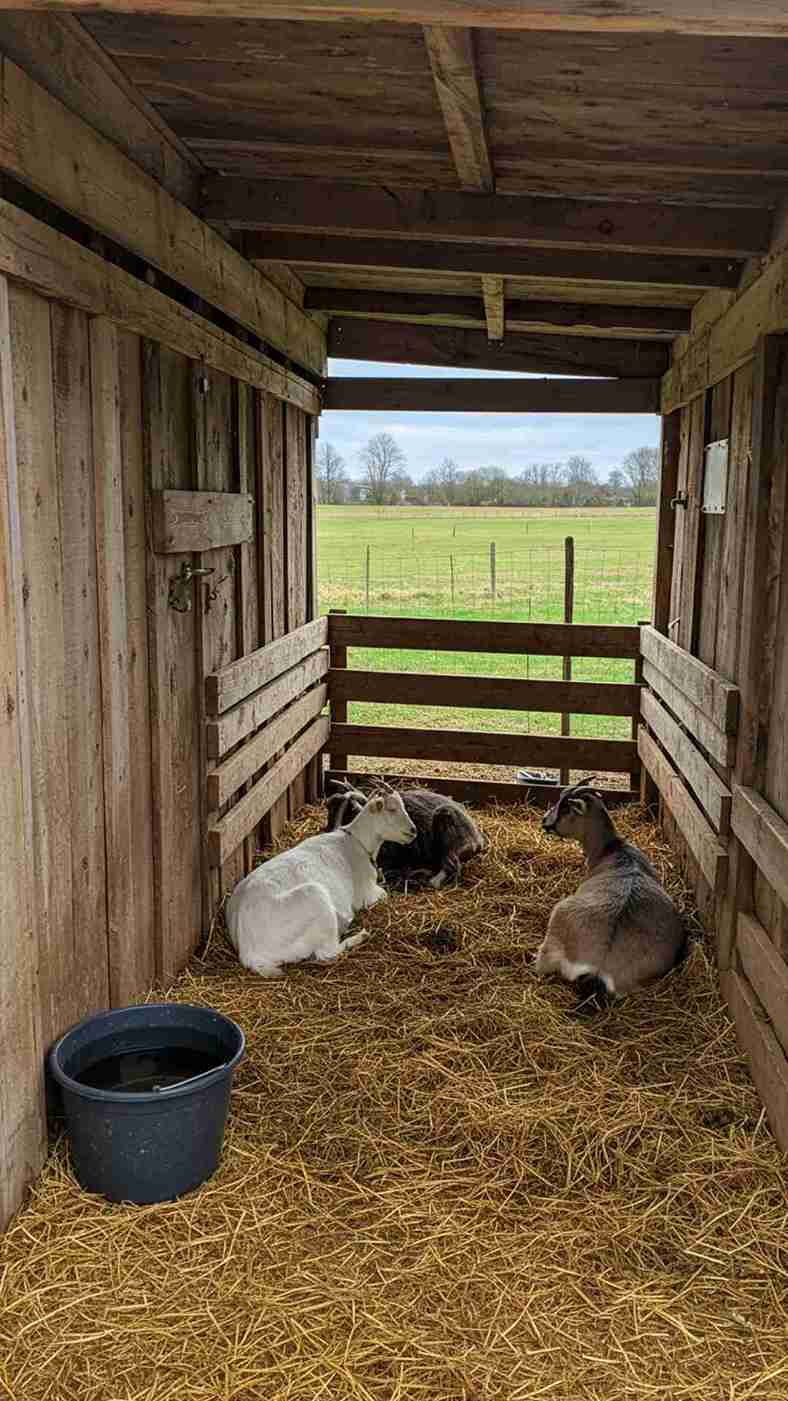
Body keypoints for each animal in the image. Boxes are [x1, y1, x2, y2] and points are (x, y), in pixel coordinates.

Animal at [225, 791, 416, 978]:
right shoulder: (366, 893)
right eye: (391, 809)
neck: (357, 842)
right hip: (315, 898)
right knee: (327, 953)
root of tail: (249, 951)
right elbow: (383, 894)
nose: (413, 830)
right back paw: (358, 936)